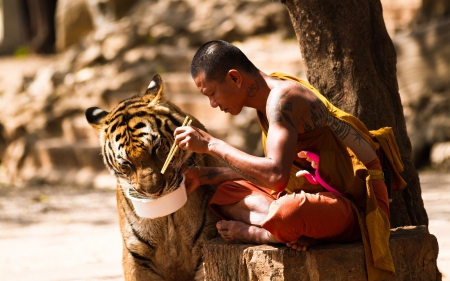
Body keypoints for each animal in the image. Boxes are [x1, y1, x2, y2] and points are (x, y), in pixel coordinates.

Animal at [85, 73, 221, 278]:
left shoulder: (205, 245)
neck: (167, 216)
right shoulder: (136, 255)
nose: (154, 192)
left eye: (156, 147)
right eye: (126, 163)